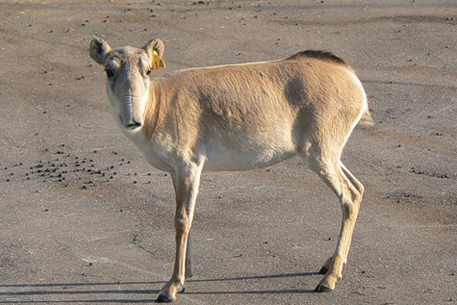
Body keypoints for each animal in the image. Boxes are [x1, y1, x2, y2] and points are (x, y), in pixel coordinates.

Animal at [89, 37, 370, 302]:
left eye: (147, 69)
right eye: (109, 70)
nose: (132, 120)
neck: (159, 106)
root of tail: (351, 77)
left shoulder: (189, 165)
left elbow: (182, 219)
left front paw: (171, 286)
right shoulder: (175, 172)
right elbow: (186, 215)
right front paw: (186, 276)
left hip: (319, 154)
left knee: (348, 197)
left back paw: (329, 278)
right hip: (330, 154)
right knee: (358, 188)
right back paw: (330, 264)